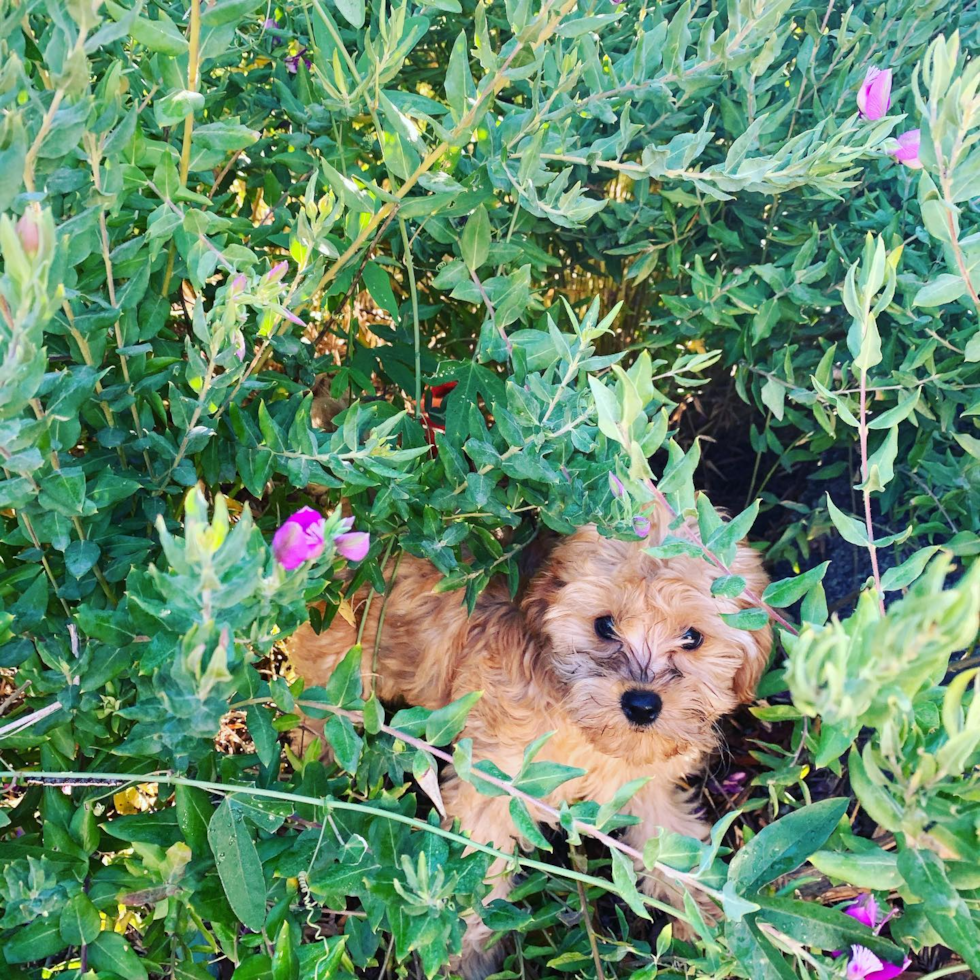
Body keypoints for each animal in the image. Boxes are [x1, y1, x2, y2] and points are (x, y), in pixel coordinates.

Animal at [288, 510, 768, 976]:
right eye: (604, 625)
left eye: (693, 637)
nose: (642, 705)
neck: (578, 725)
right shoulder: (491, 787)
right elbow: (479, 867)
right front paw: (462, 953)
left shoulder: (645, 786)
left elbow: (671, 842)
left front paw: (711, 924)